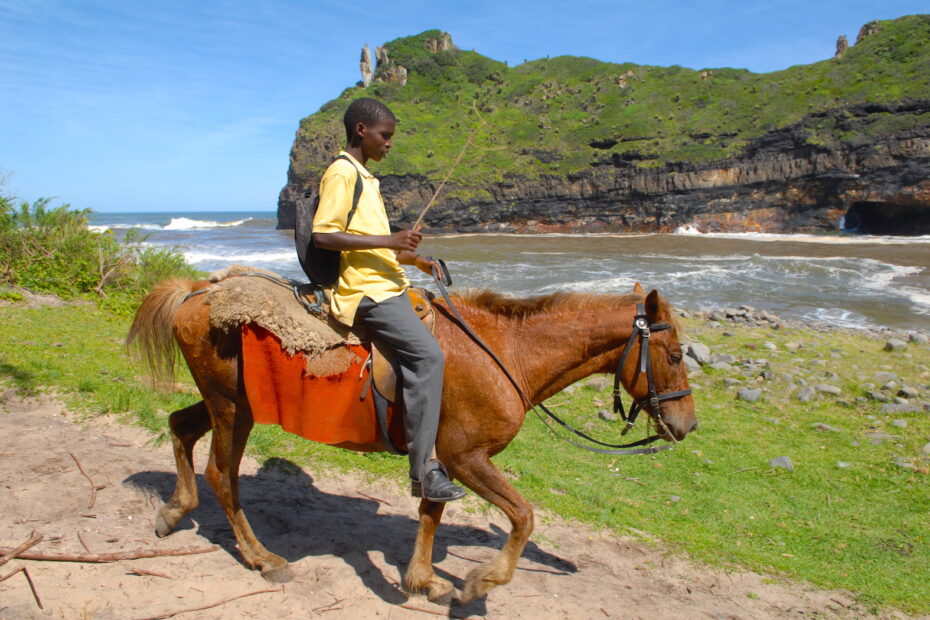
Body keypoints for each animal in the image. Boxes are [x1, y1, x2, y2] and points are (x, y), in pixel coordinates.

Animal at [129, 278, 696, 604]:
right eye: (673, 355)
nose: (687, 425)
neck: (505, 352)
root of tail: (198, 294)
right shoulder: (466, 458)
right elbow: (523, 516)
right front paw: (481, 583)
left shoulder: (441, 459)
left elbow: (431, 511)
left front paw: (422, 579)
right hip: (233, 409)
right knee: (222, 476)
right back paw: (261, 558)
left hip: (228, 403)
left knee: (179, 426)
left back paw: (175, 510)